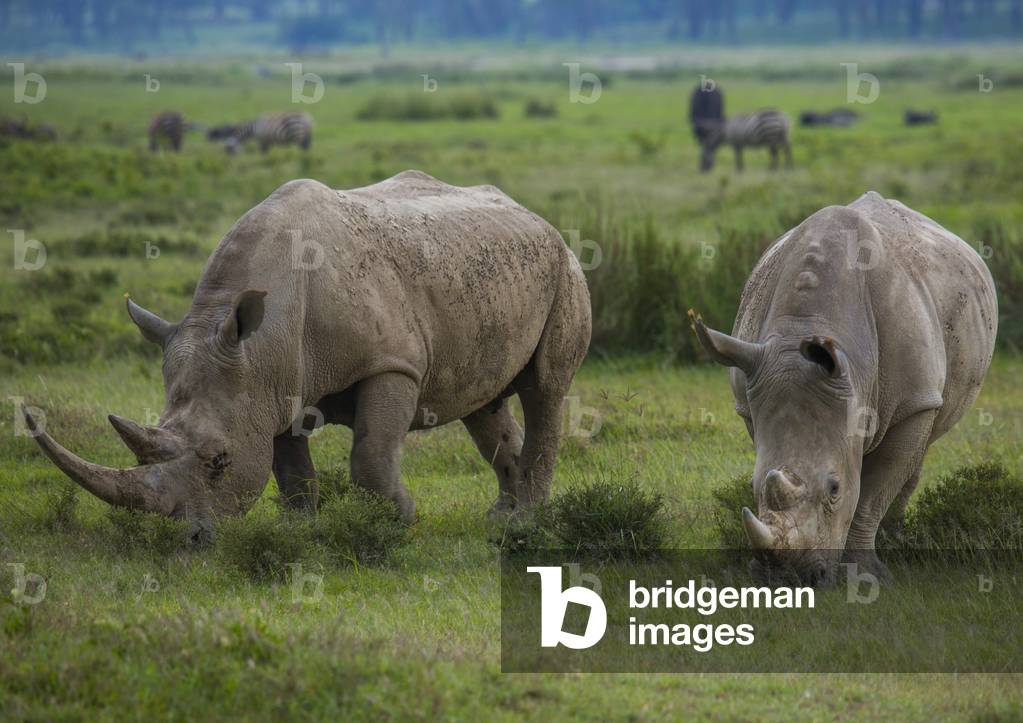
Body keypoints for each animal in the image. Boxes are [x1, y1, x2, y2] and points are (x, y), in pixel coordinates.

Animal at [24, 171, 591, 530]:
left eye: (219, 461)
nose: (186, 538)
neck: (259, 338)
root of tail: (535, 216)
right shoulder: (269, 382)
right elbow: (289, 469)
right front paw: (298, 530)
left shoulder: (392, 363)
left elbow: (372, 451)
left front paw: (398, 523)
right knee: (484, 402)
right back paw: (499, 517)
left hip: (564, 266)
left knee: (546, 390)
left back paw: (523, 525)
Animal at [691, 191, 997, 585]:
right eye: (753, 486)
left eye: (834, 489)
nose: (789, 578)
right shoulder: (752, 394)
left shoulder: (913, 402)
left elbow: (871, 494)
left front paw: (866, 574)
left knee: (920, 447)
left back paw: (897, 540)